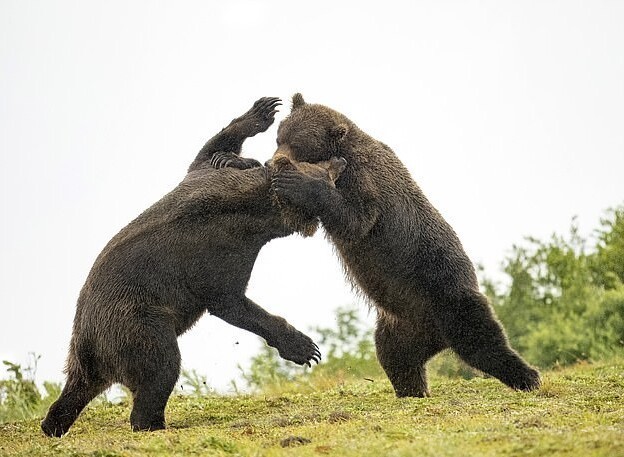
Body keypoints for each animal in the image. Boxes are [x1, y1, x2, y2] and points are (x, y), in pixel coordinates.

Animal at [272, 94, 540, 398]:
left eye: (298, 144)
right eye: (279, 137)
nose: (274, 160)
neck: (343, 152)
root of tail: (437, 336)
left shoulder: (365, 182)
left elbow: (355, 221)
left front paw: (298, 182)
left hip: (448, 294)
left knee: (481, 341)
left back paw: (528, 377)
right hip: (400, 323)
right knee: (396, 356)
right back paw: (412, 390)